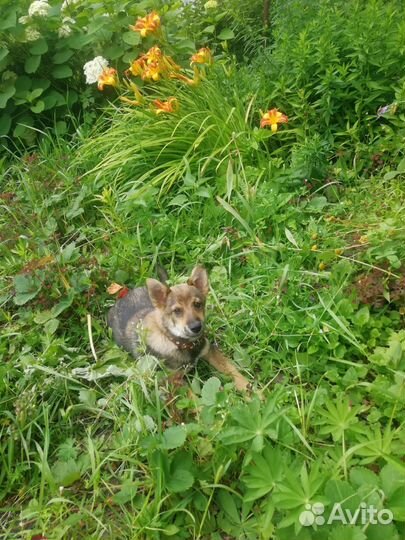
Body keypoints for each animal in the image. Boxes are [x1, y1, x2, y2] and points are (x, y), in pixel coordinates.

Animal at [105, 268, 248, 390]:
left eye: (197, 304)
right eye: (177, 311)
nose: (196, 327)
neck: (181, 343)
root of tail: (124, 296)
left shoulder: (210, 351)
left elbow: (232, 370)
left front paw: (249, 390)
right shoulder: (173, 380)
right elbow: (196, 403)